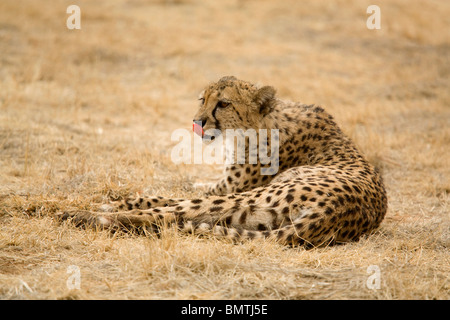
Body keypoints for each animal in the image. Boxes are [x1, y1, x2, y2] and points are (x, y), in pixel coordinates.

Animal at [61, 75, 388, 248]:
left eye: (224, 103)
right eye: (202, 99)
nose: (197, 122)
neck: (263, 123)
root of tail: (335, 213)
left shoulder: (227, 190)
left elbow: (164, 195)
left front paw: (111, 201)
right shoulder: (222, 188)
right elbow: (177, 188)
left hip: (250, 200)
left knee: (167, 214)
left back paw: (80, 214)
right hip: (256, 216)